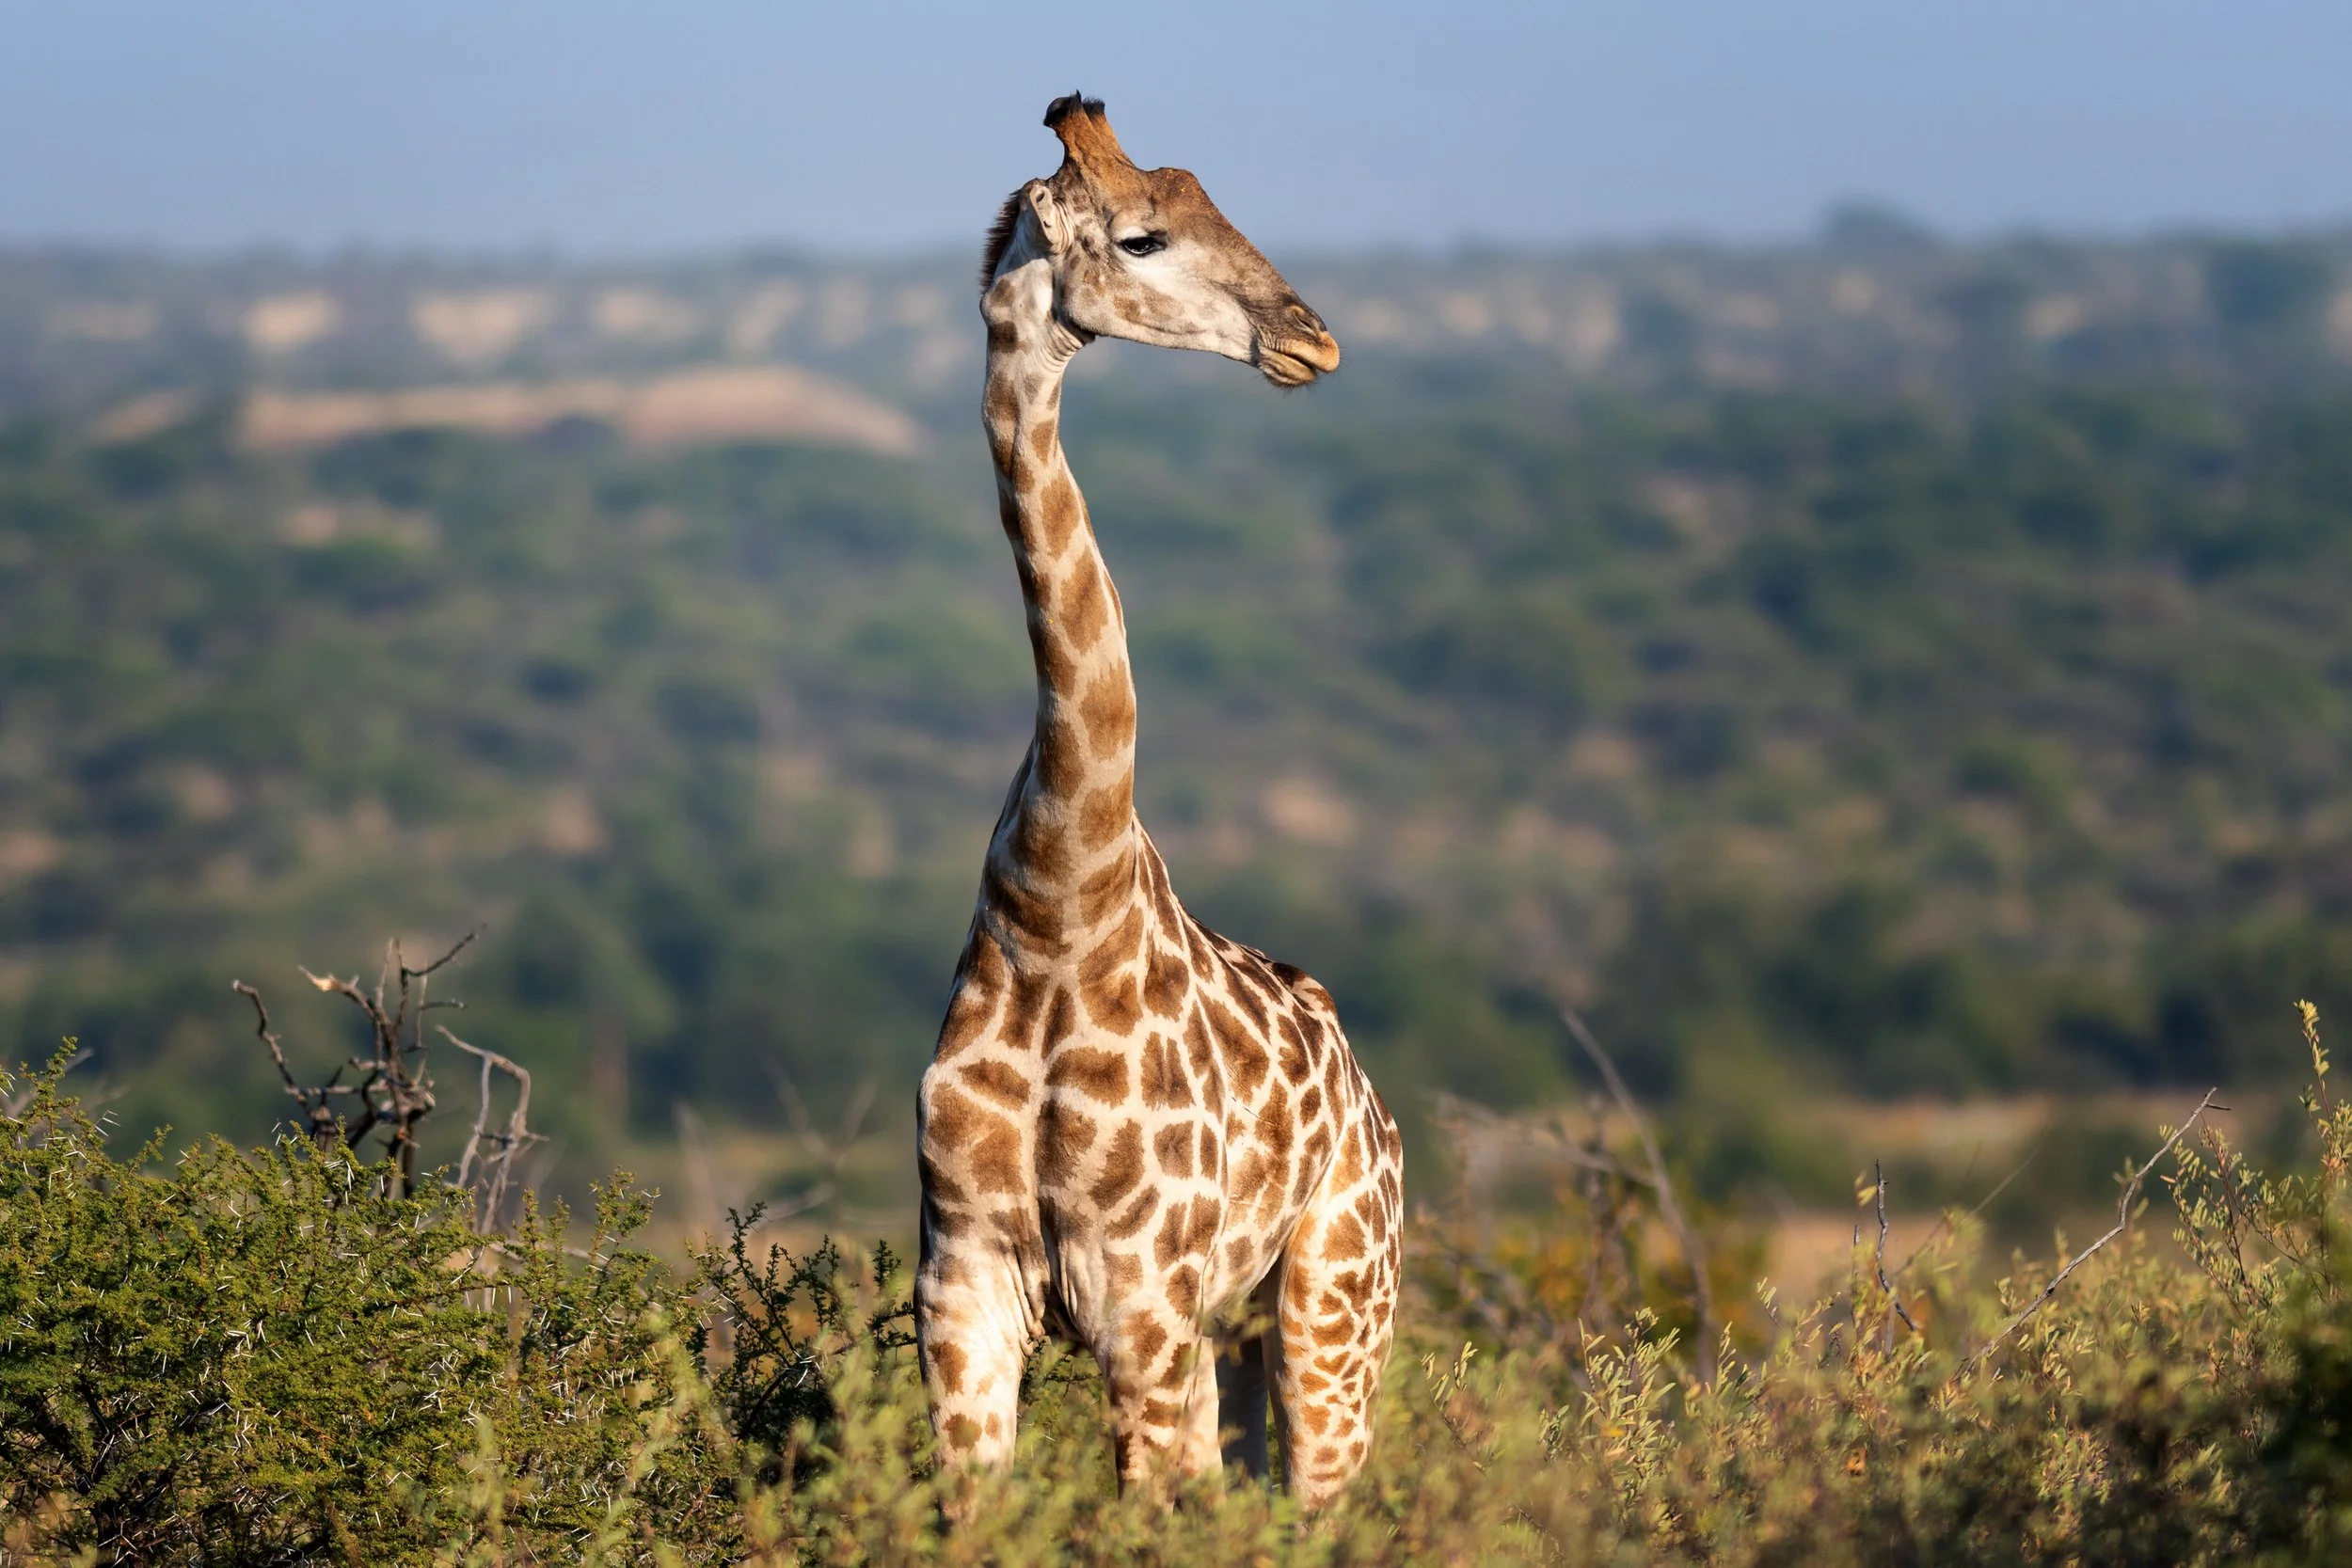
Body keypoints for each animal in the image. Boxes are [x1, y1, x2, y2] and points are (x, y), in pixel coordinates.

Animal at [915, 94, 1404, 1510]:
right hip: (1233, 1338)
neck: (1055, 903)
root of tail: (1371, 1100)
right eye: (1143, 237)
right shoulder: (962, 1284)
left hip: (1331, 1309)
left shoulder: (1142, 1296)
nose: (1313, 338)